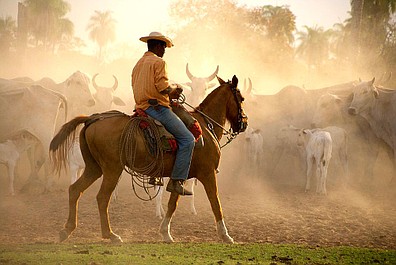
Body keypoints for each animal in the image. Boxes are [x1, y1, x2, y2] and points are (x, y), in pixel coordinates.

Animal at [49, 75, 248, 242]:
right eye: (241, 98)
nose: (244, 123)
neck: (205, 127)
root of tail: (92, 118)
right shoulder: (208, 174)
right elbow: (215, 202)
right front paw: (225, 235)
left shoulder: (180, 175)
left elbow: (172, 203)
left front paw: (165, 233)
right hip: (112, 169)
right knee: (102, 197)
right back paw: (110, 235)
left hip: (94, 168)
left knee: (75, 190)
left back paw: (67, 230)